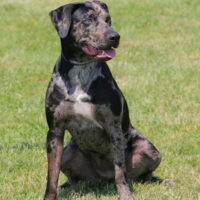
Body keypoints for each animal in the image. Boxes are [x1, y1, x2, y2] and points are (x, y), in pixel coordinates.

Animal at [43, 0, 167, 199]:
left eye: (108, 20)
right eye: (88, 20)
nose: (115, 36)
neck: (81, 70)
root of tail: (102, 178)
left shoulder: (113, 127)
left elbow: (119, 171)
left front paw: (125, 195)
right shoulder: (55, 131)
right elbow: (51, 175)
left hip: (149, 149)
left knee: (142, 175)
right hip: (68, 152)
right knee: (73, 178)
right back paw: (67, 186)